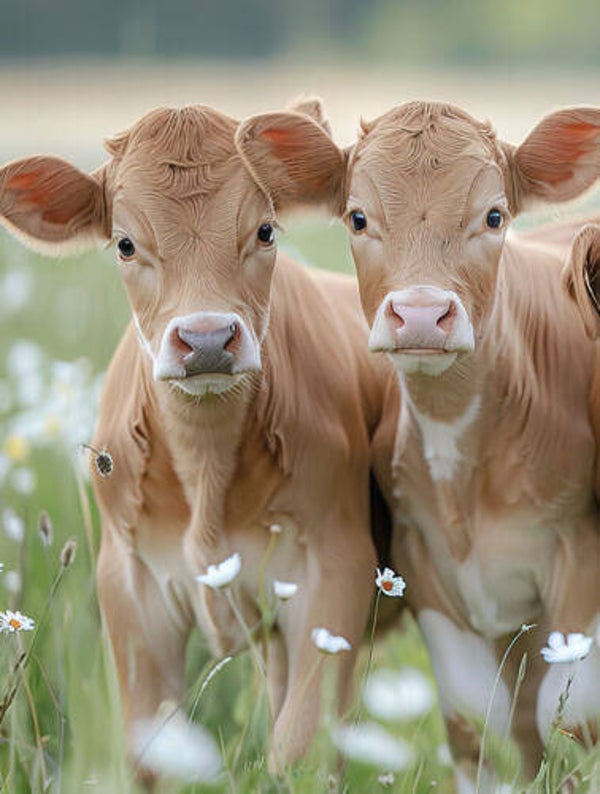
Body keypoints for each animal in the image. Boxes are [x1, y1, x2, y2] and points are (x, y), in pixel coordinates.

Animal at [0, 100, 396, 781]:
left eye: (264, 231)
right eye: (126, 243)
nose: (207, 338)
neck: (207, 466)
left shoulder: (337, 569)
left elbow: (299, 748)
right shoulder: (130, 583)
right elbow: (151, 753)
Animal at [235, 102, 600, 791]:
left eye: (493, 215)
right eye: (358, 217)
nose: (424, 314)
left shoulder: (580, 557)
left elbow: (570, 711)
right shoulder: (428, 569)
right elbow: (478, 725)